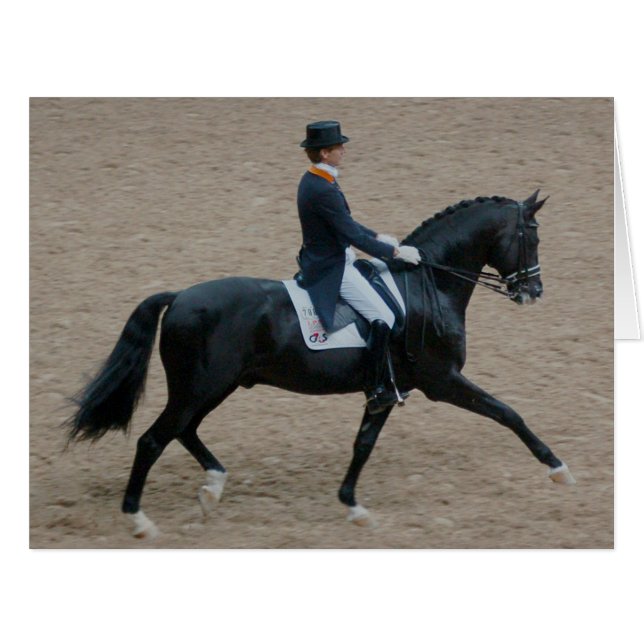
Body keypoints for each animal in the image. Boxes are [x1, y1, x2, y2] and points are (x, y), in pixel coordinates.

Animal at [66, 189, 575, 538]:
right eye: (531, 236)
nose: (533, 291)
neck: (425, 286)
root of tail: (180, 297)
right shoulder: (442, 380)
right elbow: (508, 413)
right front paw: (558, 469)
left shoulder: (388, 390)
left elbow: (363, 444)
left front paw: (352, 506)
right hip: (199, 387)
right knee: (154, 440)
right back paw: (140, 522)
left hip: (213, 387)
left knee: (184, 431)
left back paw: (213, 487)